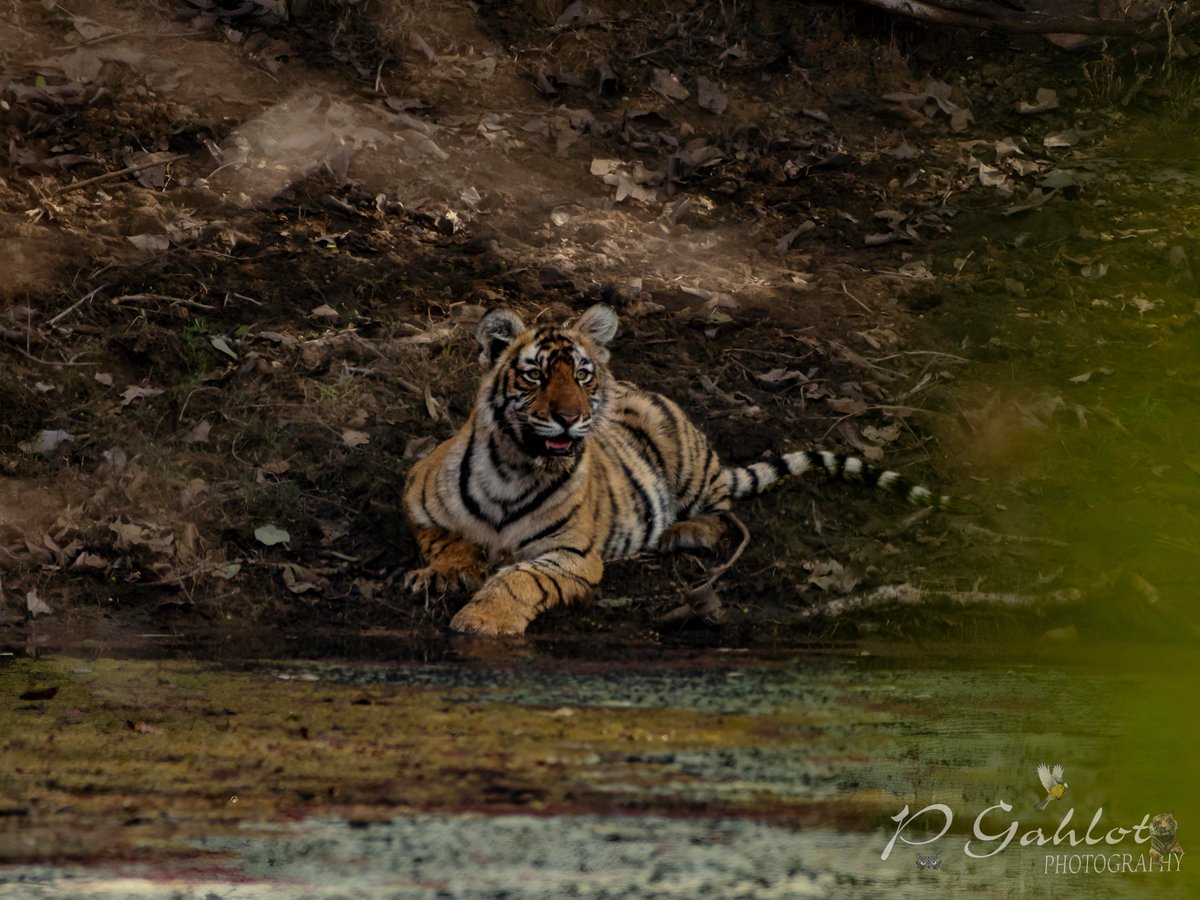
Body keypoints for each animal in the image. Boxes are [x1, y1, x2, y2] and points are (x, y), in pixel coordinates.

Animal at [403, 307, 974, 638]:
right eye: (535, 375)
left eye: (583, 376)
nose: (570, 416)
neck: (516, 467)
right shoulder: (416, 498)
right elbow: (447, 540)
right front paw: (445, 573)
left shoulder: (572, 555)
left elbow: (520, 579)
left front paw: (483, 620)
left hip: (686, 463)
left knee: (722, 510)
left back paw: (685, 532)